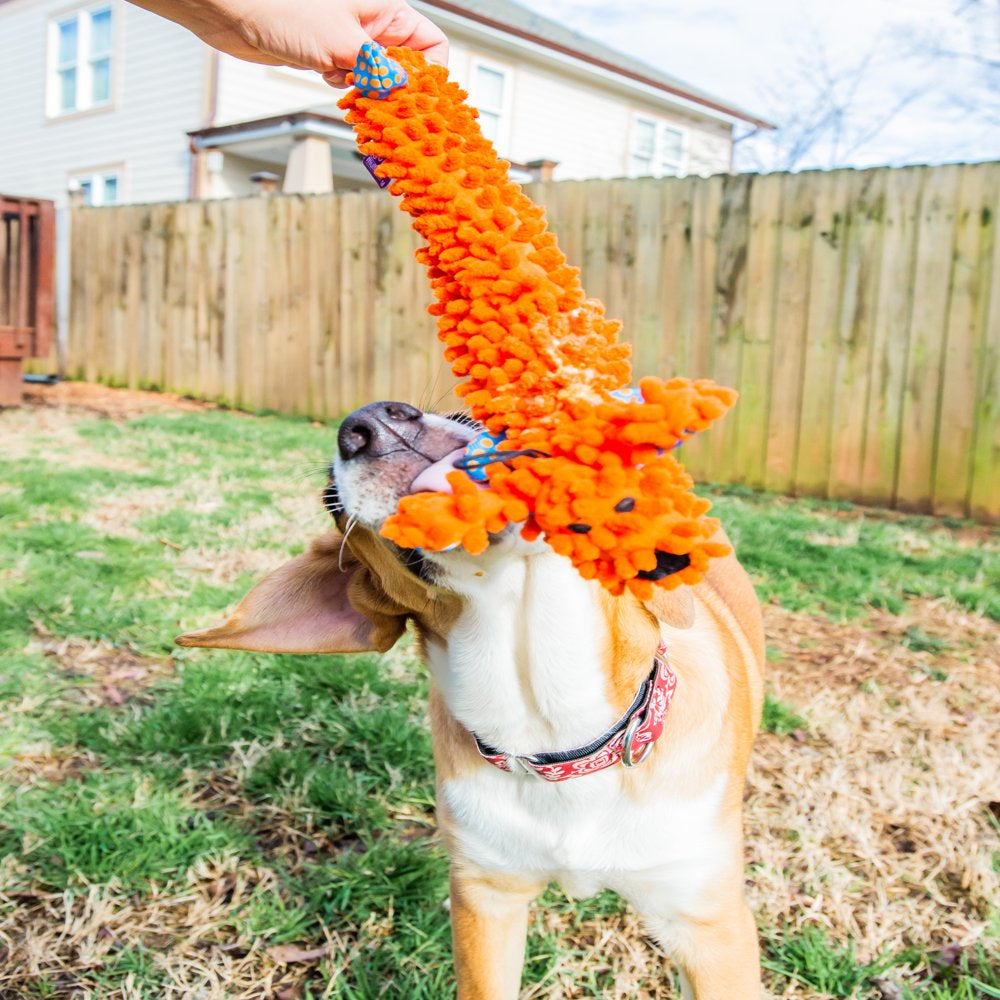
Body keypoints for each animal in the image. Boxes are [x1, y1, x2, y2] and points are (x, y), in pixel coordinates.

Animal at [178, 400, 764, 1000]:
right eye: (330, 502)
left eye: (474, 418)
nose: (373, 422)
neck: (557, 737)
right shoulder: (485, 904)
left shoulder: (709, 928)